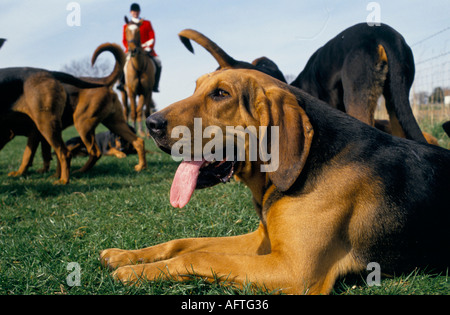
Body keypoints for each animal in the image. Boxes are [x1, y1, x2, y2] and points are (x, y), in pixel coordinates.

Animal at [101, 69, 450, 296]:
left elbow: (196, 256)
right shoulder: (263, 240)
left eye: (221, 94)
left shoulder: (294, 270)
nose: (151, 123)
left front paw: (134, 272)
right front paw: (125, 256)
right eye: (198, 87)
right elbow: (184, 243)